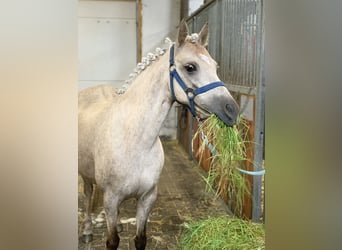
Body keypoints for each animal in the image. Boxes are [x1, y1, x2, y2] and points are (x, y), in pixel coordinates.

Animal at [78, 20, 238, 250]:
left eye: (215, 67)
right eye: (191, 67)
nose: (232, 110)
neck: (134, 140)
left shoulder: (148, 197)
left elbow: (140, 239)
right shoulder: (110, 198)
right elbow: (112, 241)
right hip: (85, 176)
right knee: (88, 195)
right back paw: (87, 230)